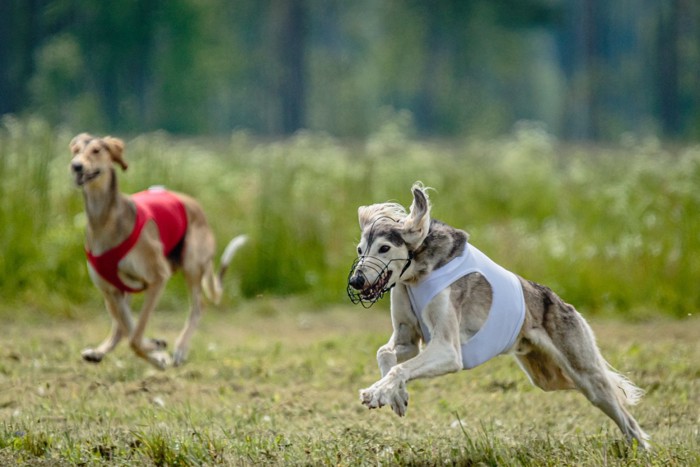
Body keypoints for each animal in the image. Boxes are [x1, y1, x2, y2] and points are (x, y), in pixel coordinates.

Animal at [70, 133, 246, 372]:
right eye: (75, 150)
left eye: (96, 150)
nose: (76, 166)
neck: (105, 220)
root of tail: (194, 203)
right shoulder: (112, 290)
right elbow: (131, 331)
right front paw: (157, 352)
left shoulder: (157, 279)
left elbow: (135, 337)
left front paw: (158, 353)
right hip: (116, 293)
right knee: (122, 327)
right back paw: (99, 352)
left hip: (191, 264)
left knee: (197, 306)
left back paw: (180, 349)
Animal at [348, 183, 648, 450]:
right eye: (360, 250)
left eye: (384, 248)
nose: (355, 281)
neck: (418, 272)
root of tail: (561, 303)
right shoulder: (409, 340)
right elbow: (385, 354)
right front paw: (395, 395)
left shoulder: (447, 350)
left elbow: (400, 367)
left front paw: (377, 392)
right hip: (548, 376)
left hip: (585, 372)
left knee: (625, 416)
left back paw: (641, 447)